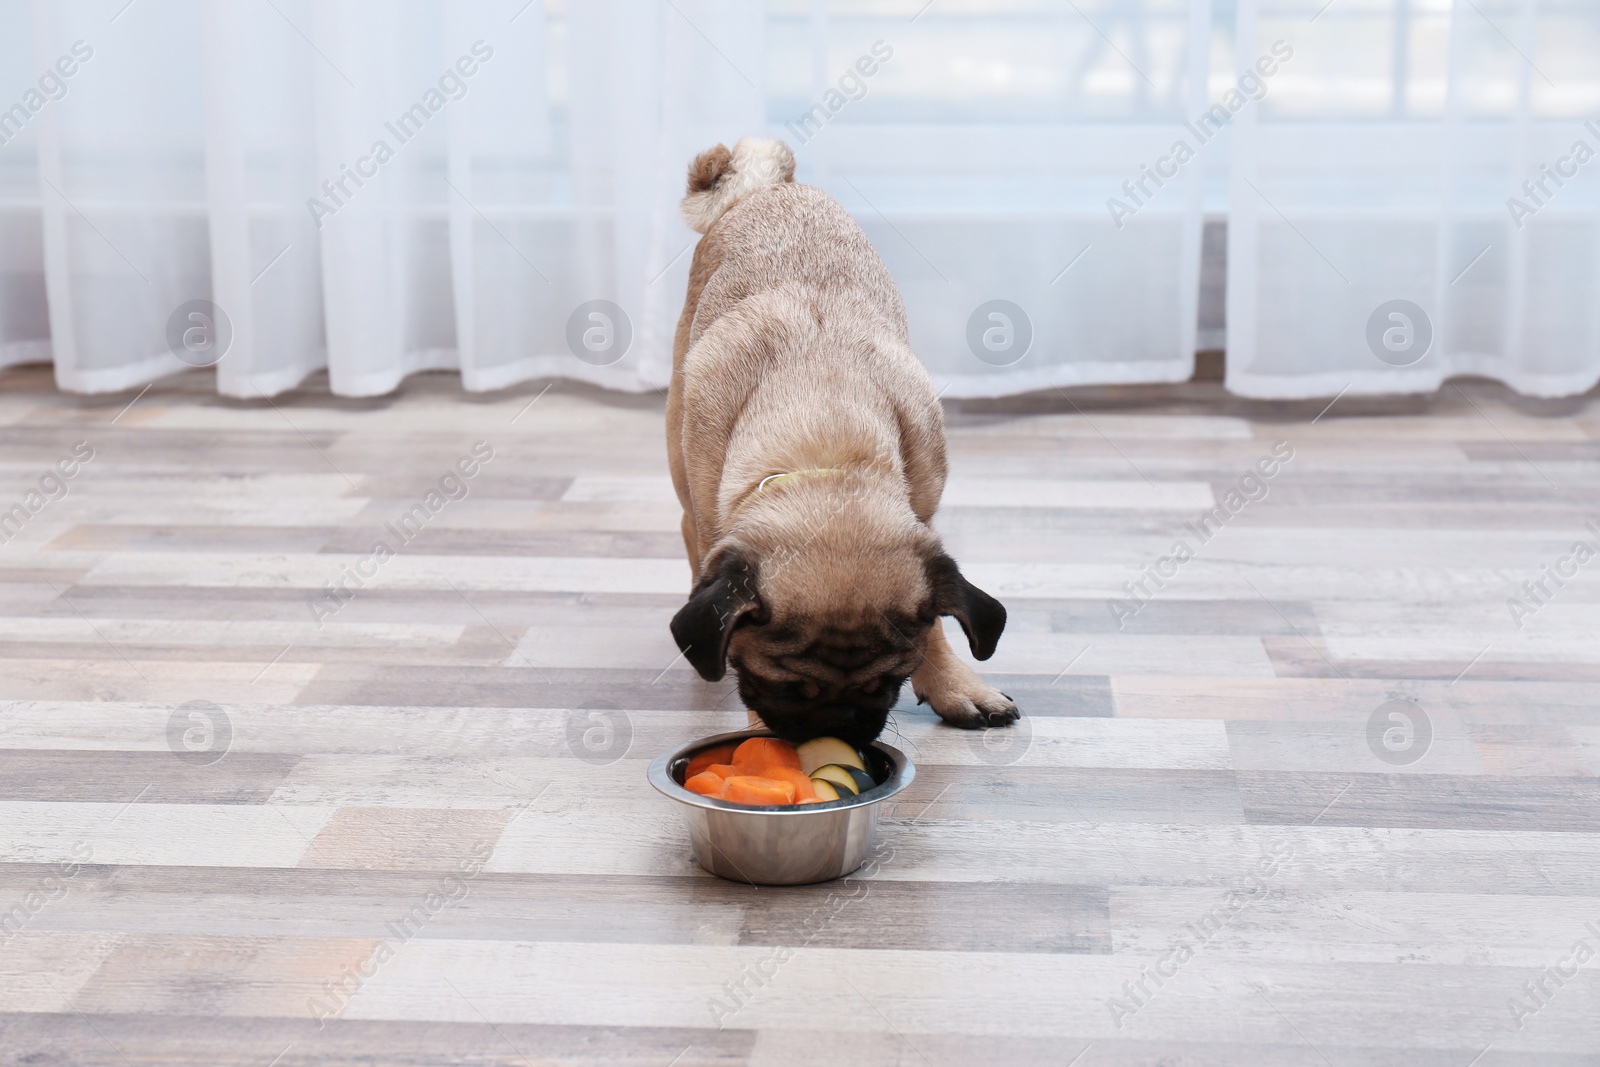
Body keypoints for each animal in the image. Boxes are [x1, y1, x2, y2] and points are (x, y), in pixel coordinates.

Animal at [665, 135, 1017, 751]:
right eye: (774, 684)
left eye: (890, 682)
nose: (838, 724)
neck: (829, 448)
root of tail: (764, 187)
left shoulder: (924, 521)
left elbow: (937, 617)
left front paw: (952, 684)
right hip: (679, 443)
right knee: (690, 526)